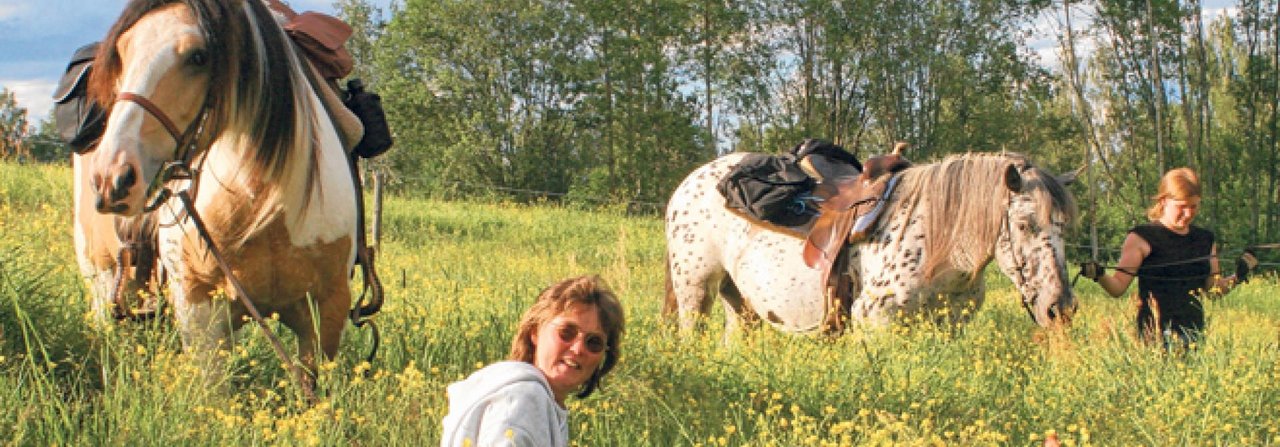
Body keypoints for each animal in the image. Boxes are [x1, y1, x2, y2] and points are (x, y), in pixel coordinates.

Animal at [85, 0, 358, 384]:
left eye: (199, 57)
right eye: (123, 51)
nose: (113, 178)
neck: (263, 204)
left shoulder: (328, 310)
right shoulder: (198, 310)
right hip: (100, 281)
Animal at [670, 151, 1080, 335]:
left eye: (1065, 228)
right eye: (1024, 225)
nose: (1060, 308)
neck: (937, 244)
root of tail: (689, 182)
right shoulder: (875, 321)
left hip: (740, 302)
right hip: (695, 292)